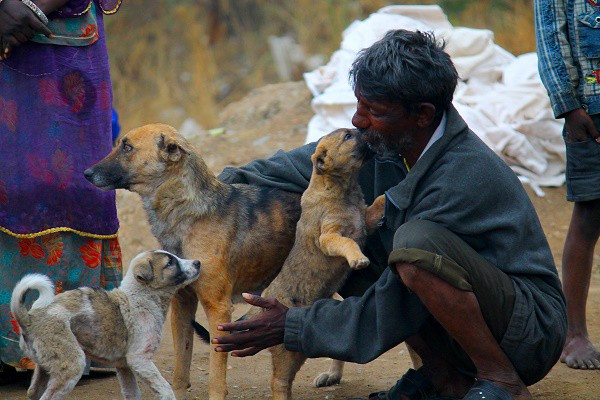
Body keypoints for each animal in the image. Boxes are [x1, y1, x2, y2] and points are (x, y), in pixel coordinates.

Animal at [10, 250, 200, 400]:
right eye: (170, 263)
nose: (198, 262)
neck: (143, 297)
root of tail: (29, 319)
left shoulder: (124, 366)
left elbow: (132, 393)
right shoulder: (140, 360)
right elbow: (166, 389)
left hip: (43, 367)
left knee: (32, 392)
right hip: (72, 364)